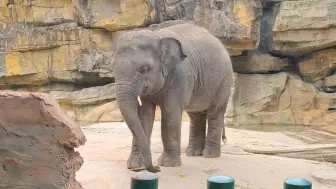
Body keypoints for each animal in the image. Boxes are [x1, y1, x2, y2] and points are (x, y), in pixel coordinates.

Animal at [110, 22, 234, 172]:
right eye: (112, 69)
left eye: (143, 70)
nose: (156, 168)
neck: (156, 35)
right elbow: (144, 116)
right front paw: (134, 166)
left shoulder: (180, 77)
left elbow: (170, 113)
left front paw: (168, 164)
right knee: (196, 115)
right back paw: (193, 153)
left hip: (224, 80)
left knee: (215, 112)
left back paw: (209, 155)